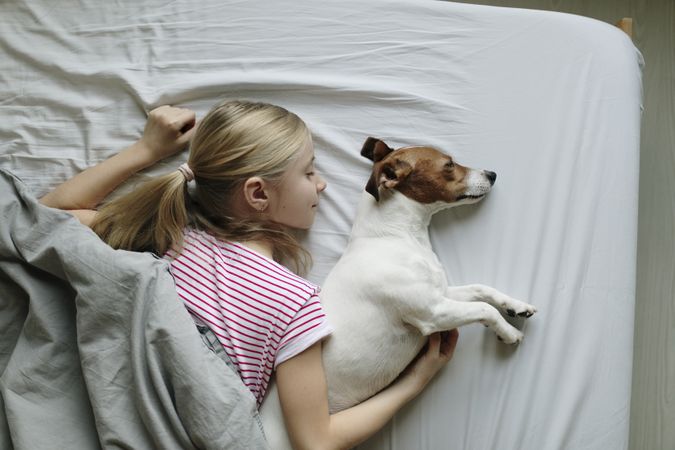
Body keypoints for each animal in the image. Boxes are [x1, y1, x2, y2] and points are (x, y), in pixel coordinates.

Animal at [258, 137, 540, 446]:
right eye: (449, 164)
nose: (492, 174)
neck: (396, 237)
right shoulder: (432, 312)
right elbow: (484, 309)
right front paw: (509, 332)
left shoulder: (441, 293)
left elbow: (482, 289)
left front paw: (515, 306)